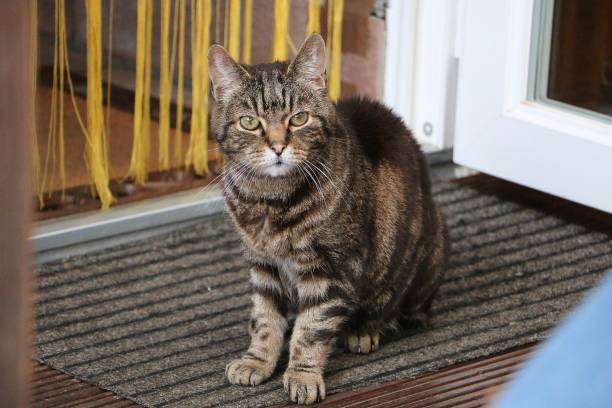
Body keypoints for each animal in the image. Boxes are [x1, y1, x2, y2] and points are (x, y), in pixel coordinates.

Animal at [208, 34, 448, 404]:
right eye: (250, 122)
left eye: (298, 118)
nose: (277, 146)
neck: (269, 200)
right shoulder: (262, 265)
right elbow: (264, 318)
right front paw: (257, 361)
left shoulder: (330, 270)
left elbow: (311, 329)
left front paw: (302, 375)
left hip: (424, 258)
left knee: (395, 308)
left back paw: (366, 330)